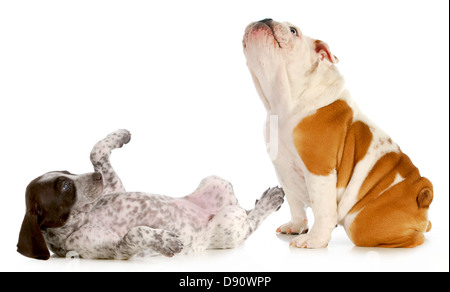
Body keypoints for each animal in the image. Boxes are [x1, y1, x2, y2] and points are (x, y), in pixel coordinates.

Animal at [19, 130, 284, 260]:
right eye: (65, 187)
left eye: (67, 172)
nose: (98, 178)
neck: (83, 218)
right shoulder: (115, 250)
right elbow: (136, 233)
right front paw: (165, 241)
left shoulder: (115, 187)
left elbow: (96, 151)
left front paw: (119, 136)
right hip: (228, 222)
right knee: (250, 221)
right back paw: (269, 202)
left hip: (215, 180)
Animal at [243, 18, 432, 249]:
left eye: (293, 31)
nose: (265, 19)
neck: (284, 103)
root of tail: (421, 194)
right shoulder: (284, 170)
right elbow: (295, 203)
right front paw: (296, 226)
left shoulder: (319, 169)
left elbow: (322, 209)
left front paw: (314, 240)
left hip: (361, 223)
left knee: (414, 238)